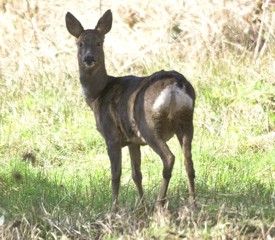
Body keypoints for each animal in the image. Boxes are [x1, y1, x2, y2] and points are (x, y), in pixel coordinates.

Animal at [65, 8, 196, 208]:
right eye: (80, 44)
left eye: (99, 42)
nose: (89, 58)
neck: (97, 95)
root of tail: (175, 86)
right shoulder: (133, 140)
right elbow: (136, 174)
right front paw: (142, 206)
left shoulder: (111, 136)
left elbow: (115, 175)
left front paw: (114, 208)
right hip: (187, 121)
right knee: (189, 162)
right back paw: (193, 203)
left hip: (149, 124)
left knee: (169, 158)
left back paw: (160, 203)